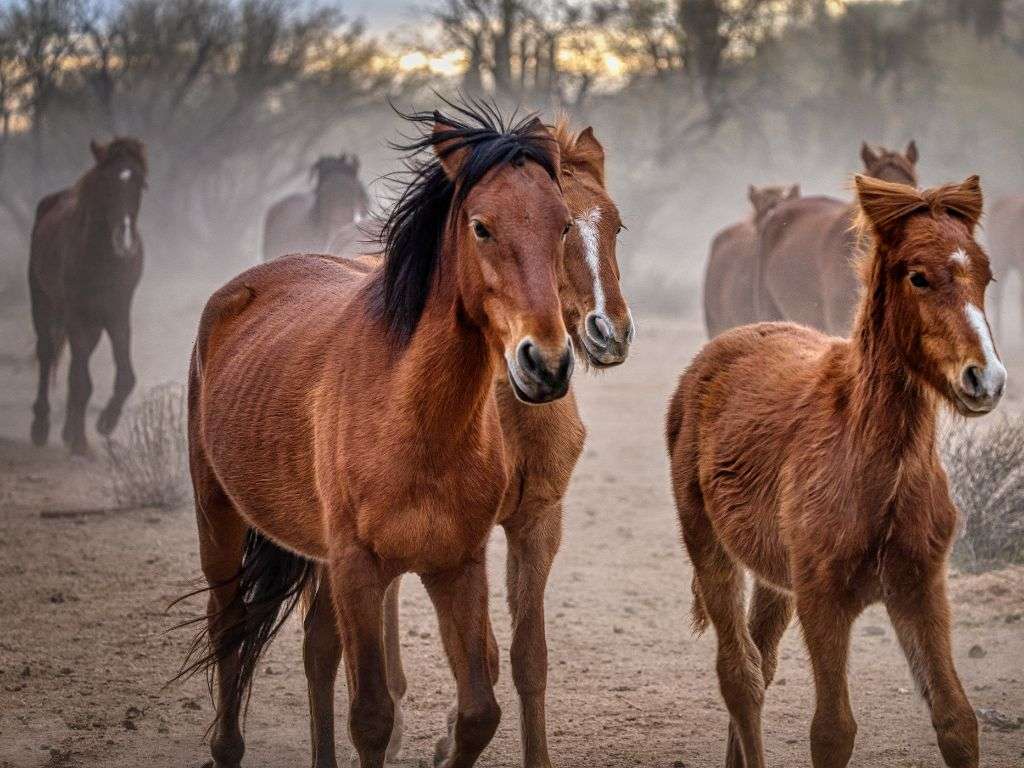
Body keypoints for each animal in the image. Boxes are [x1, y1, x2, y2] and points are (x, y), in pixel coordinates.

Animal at [28, 137, 148, 456]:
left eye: (141, 183)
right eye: (106, 181)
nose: (124, 240)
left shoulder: (118, 312)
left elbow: (125, 376)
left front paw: (105, 422)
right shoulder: (76, 314)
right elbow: (81, 380)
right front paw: (81, 444)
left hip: (93, 322)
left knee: (75, 364)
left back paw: (68, 430)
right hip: (43, 303)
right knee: (47, 354)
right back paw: (41, 427)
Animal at [183, 100, 576, 768]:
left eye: (565, 227)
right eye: (481, 227)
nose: (546, 364)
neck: (414, 419)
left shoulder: (456, 566)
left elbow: (480, 712)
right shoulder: (359, 569)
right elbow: (370, 716)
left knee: (316, 649)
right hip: (219, 518)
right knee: (229, 626)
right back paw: (226, 747)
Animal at [300, 119, 633, 768]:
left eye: (615, 224)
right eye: (564, 227)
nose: (610, 332)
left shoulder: (536, 522)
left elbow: (528, 659)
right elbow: (488, 656)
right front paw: (446, 735)